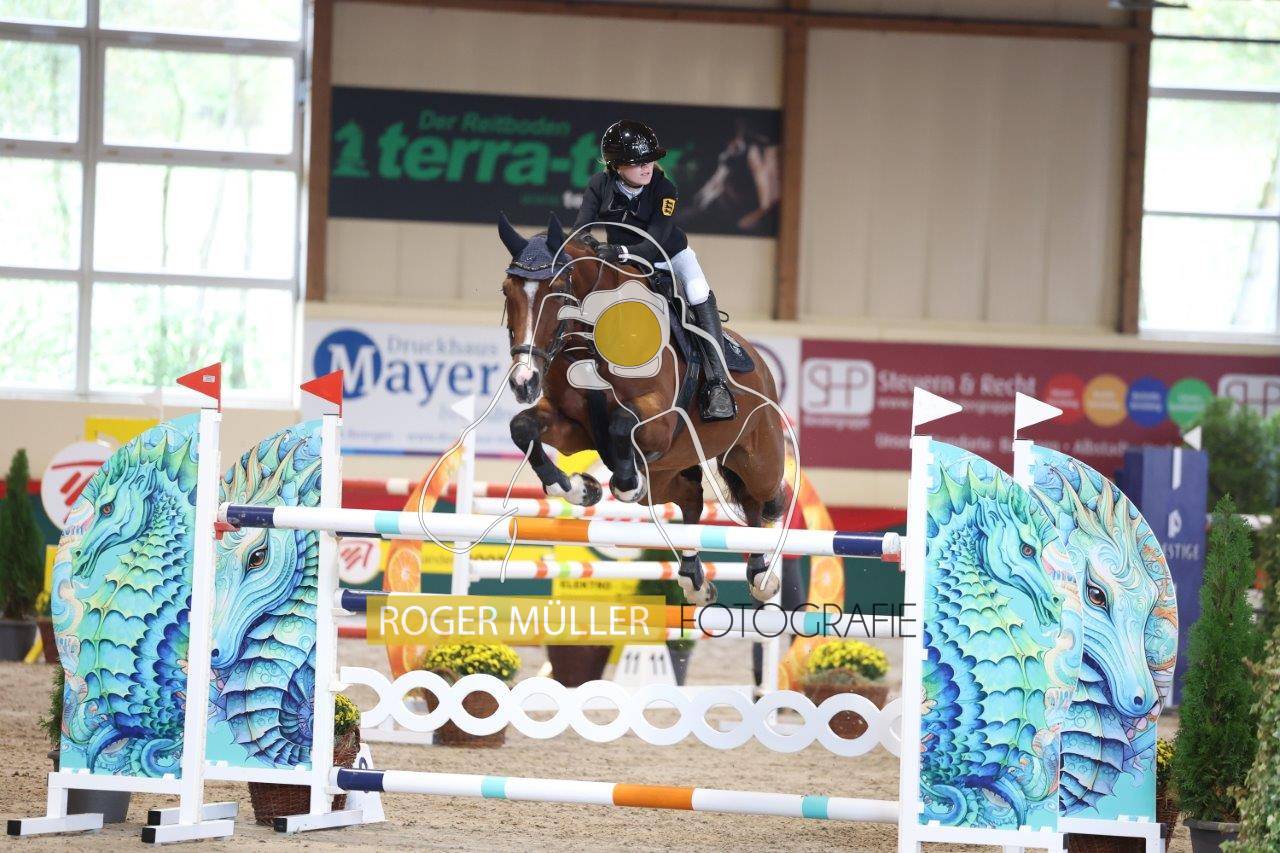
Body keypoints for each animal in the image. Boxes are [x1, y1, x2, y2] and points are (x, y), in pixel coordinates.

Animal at [497, 212, 789, 604]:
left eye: (557, 290)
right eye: (506, 290)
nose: (524, 381)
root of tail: (758, 361)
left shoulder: (659, 420)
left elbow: (622, 422)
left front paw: (623, 482)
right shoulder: (575, 428)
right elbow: (523, 428)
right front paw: (579, 488)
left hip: (756, 456)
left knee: (760, 499)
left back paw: (761, 572)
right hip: (666, 474)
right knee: (691, 496)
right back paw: (694, 580)